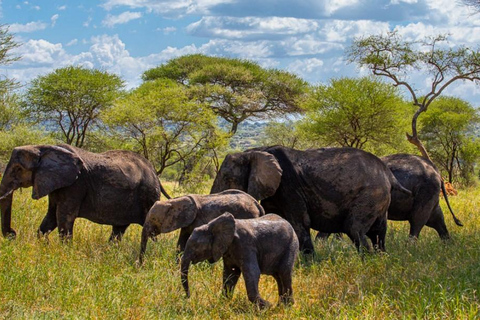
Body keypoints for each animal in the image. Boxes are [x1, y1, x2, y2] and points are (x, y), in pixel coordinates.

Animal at [0, 144, 171, 240]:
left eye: (18, 169)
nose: (12, 234)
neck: (43, 147)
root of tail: (154, 173)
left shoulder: (76, 184)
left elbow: (64, 217)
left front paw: (64, 256)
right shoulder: (56, 182)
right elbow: (51, 217)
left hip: (148, 195)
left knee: (150, 229)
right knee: (119, 229)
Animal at [210, 146, 412, 254]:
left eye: (227, 178)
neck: (254, 151)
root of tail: (388, 174)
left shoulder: (289, 187)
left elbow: (299, 223)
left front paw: (308, 264)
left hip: (370, 194)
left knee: (355, 228)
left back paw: (368, 262)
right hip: (379, 198)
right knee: (378, 231)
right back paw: (381, 258)